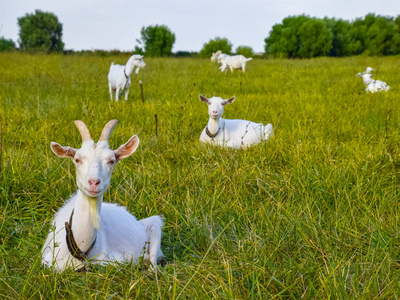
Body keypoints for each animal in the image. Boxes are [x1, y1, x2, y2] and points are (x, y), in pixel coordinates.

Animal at [41, 119, 163, 272]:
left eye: (111, 160)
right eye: (77, 159)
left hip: (155, 224)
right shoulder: (48, 260)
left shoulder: (114, 259)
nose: (93, 182)